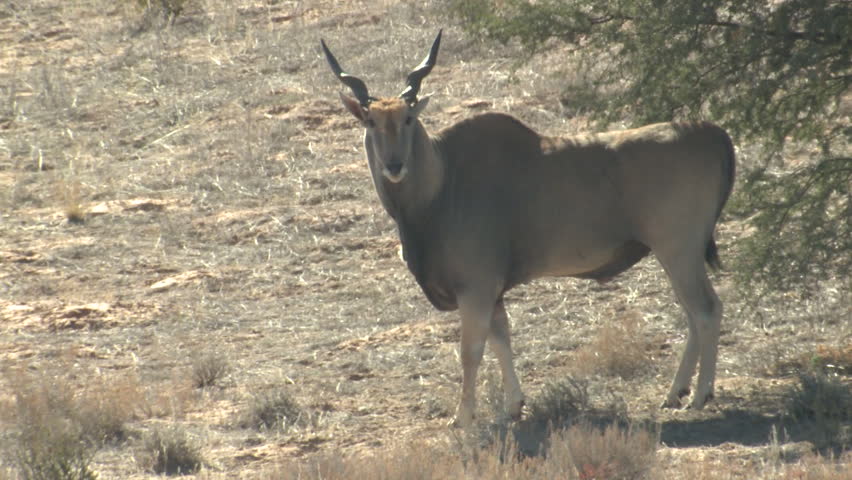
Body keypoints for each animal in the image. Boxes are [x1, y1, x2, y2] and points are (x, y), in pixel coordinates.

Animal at [320, 31, 732, 428]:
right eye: (371, 121)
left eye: (407, 119)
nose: (394, 165)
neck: (443, 181)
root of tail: (714, 135)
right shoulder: (493, 292)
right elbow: (502, 340)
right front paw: (512, 407)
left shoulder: (476, 288)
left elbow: (471, 351)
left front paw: (463, 418)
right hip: (676, 255)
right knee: (692, 314)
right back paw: (675, 392)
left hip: (678, 250)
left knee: (706, 310)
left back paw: (699, 396)